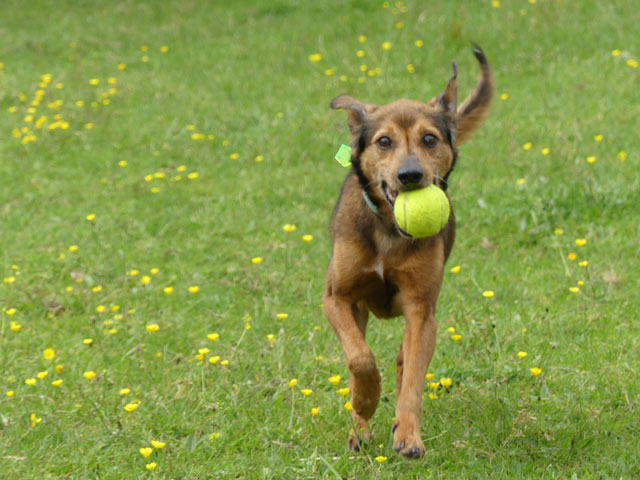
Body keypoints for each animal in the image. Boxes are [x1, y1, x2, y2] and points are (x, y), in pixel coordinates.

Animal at [324, 47, 496, 458]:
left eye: (429, 139)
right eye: (384, 142)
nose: (410, 176)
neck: (389, 231)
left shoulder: (421, 309)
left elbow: (414, 378)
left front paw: (408, 435)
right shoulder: (337, 298)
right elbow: (360, 359)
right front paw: (365, 402)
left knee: (404, 360)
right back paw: (360, 427)